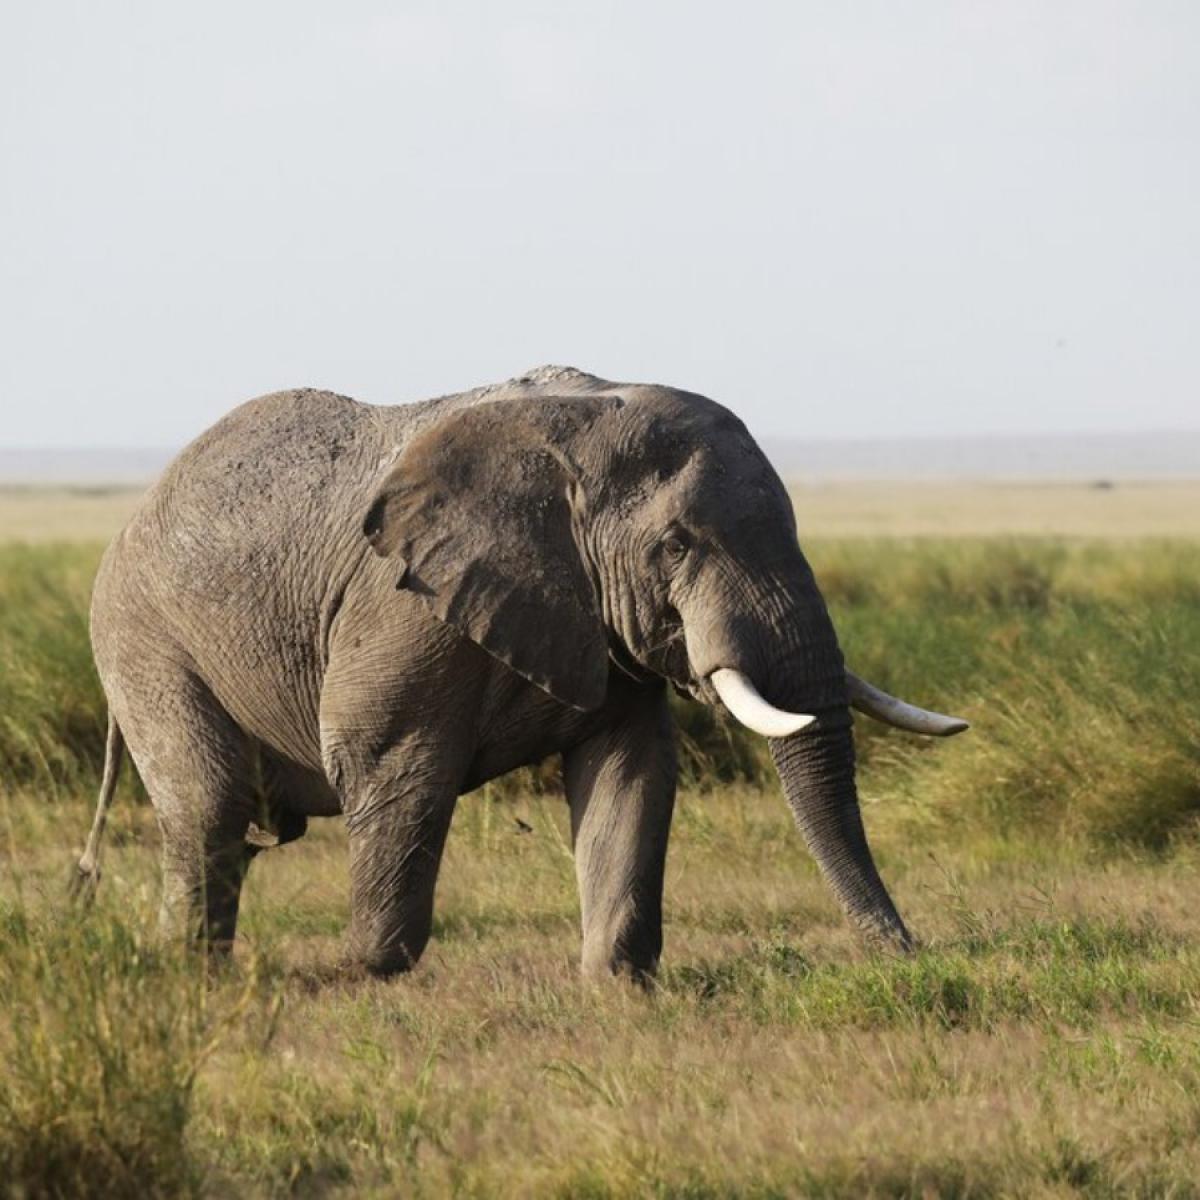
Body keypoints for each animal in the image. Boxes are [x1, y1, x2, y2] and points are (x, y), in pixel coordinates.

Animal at [75, 367, 964, 984]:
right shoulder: (403, 607)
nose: (906, 952)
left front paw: (617, 984)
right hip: (143, 640)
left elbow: (633, 773)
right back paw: (191, 973)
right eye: (676, 545)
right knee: (210, 809)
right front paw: (361, 974)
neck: (579, 430)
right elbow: (387, 761)